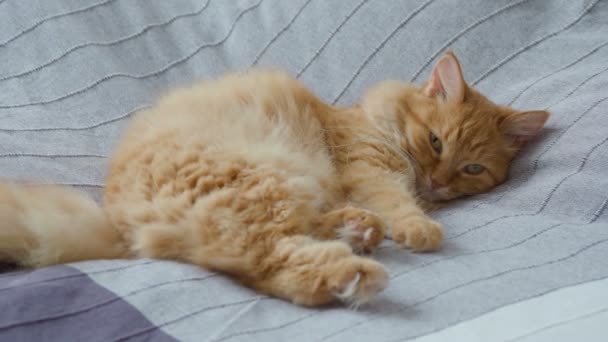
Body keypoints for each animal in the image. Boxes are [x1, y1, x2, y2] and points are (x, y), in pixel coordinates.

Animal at [0, 52, 548, 306]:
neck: (374, 118)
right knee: (273, 262)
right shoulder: (368, 167)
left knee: (277, 256)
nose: (436, 182)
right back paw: (355, 273)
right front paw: (420, 228)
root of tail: (118, 223)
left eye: (471, 169)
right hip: (264, 181)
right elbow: (397, 202)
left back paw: (357, 232)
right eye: (435, 142)